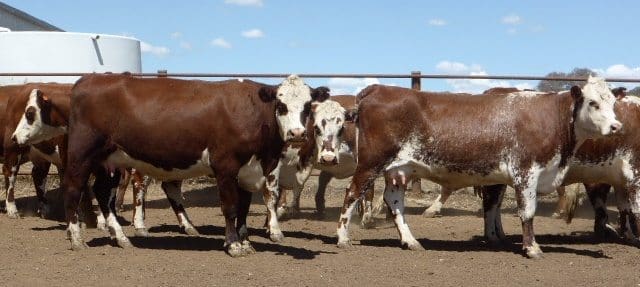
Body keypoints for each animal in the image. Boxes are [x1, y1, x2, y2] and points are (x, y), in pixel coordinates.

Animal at [64, 73, 328, 258]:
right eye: (281, 105)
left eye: (307, 106)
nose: (297, 134)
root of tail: (88, 79)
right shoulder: (226, 166)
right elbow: (231, 208)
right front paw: (233, 244)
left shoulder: (249, 171)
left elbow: (245, 208)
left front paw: (245, 241)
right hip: (81, 155)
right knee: (74, 189)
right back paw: (76, 238)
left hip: (109, 161)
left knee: (102, 193)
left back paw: (120, 238)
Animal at [338, 76, 624, 258]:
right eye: (593, 103)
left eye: (613, 103)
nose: (616, 126)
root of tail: (378, 89)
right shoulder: (526, 172)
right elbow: (527, 212)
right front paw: (532, 248)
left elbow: (494, 205)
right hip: (371, 163)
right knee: (352, 194)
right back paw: (343, 238)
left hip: (398, 168)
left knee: (394, 201)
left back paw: (410, 241)